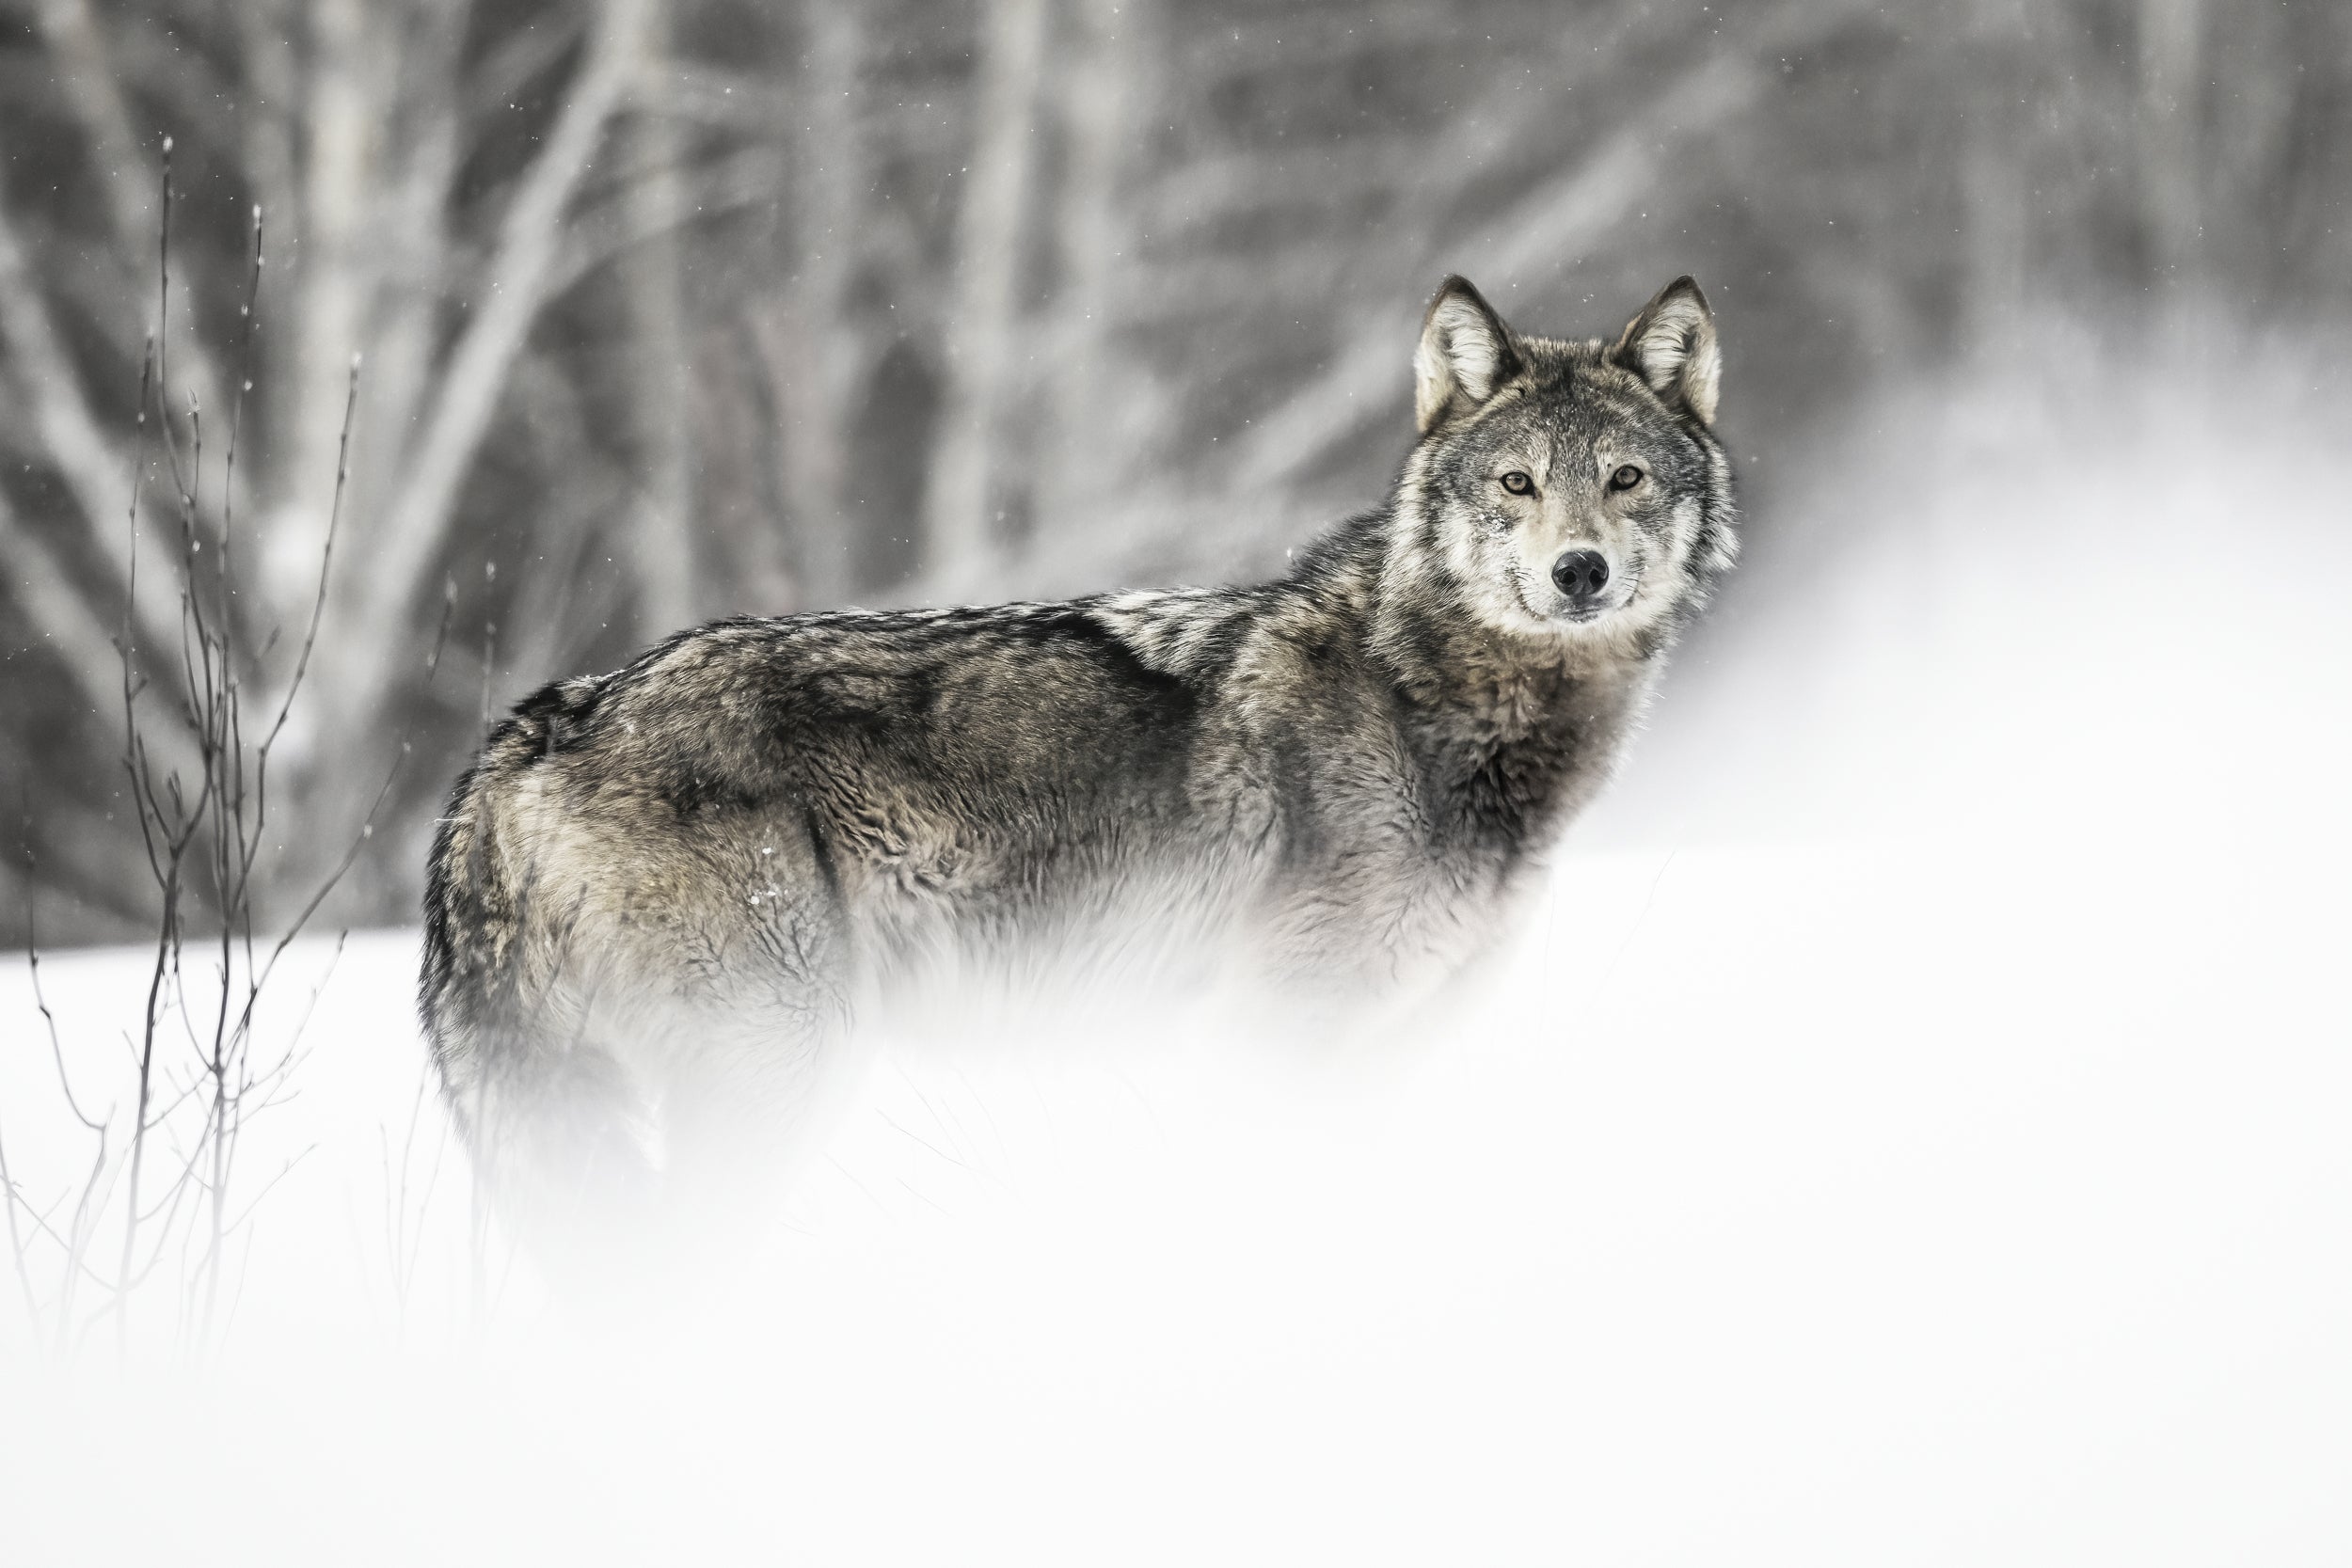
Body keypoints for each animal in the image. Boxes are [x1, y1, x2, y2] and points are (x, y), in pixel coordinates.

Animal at [420, 274, 1736, 1245]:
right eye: (1517, 483)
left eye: (1623, 478)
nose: (1578, 571)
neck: (1438, 705)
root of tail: (530, 730)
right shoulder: (1273, 1039)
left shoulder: (1384, 1053)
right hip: (779, 1067)